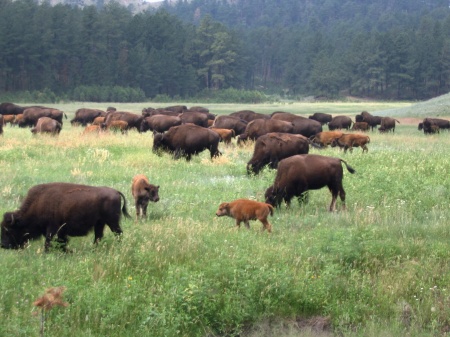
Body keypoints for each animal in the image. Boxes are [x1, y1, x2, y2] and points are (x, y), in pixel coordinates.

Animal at [1, 182, 132, 251]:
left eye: (8, 230)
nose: (3, 245)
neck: (38, 203)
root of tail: (116, 192)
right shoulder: (60, 231)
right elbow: (61, 241)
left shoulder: (52, 229)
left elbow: (49, 242)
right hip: (100, 223)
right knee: (98, 236)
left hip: (112, 222)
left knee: (118, 234)